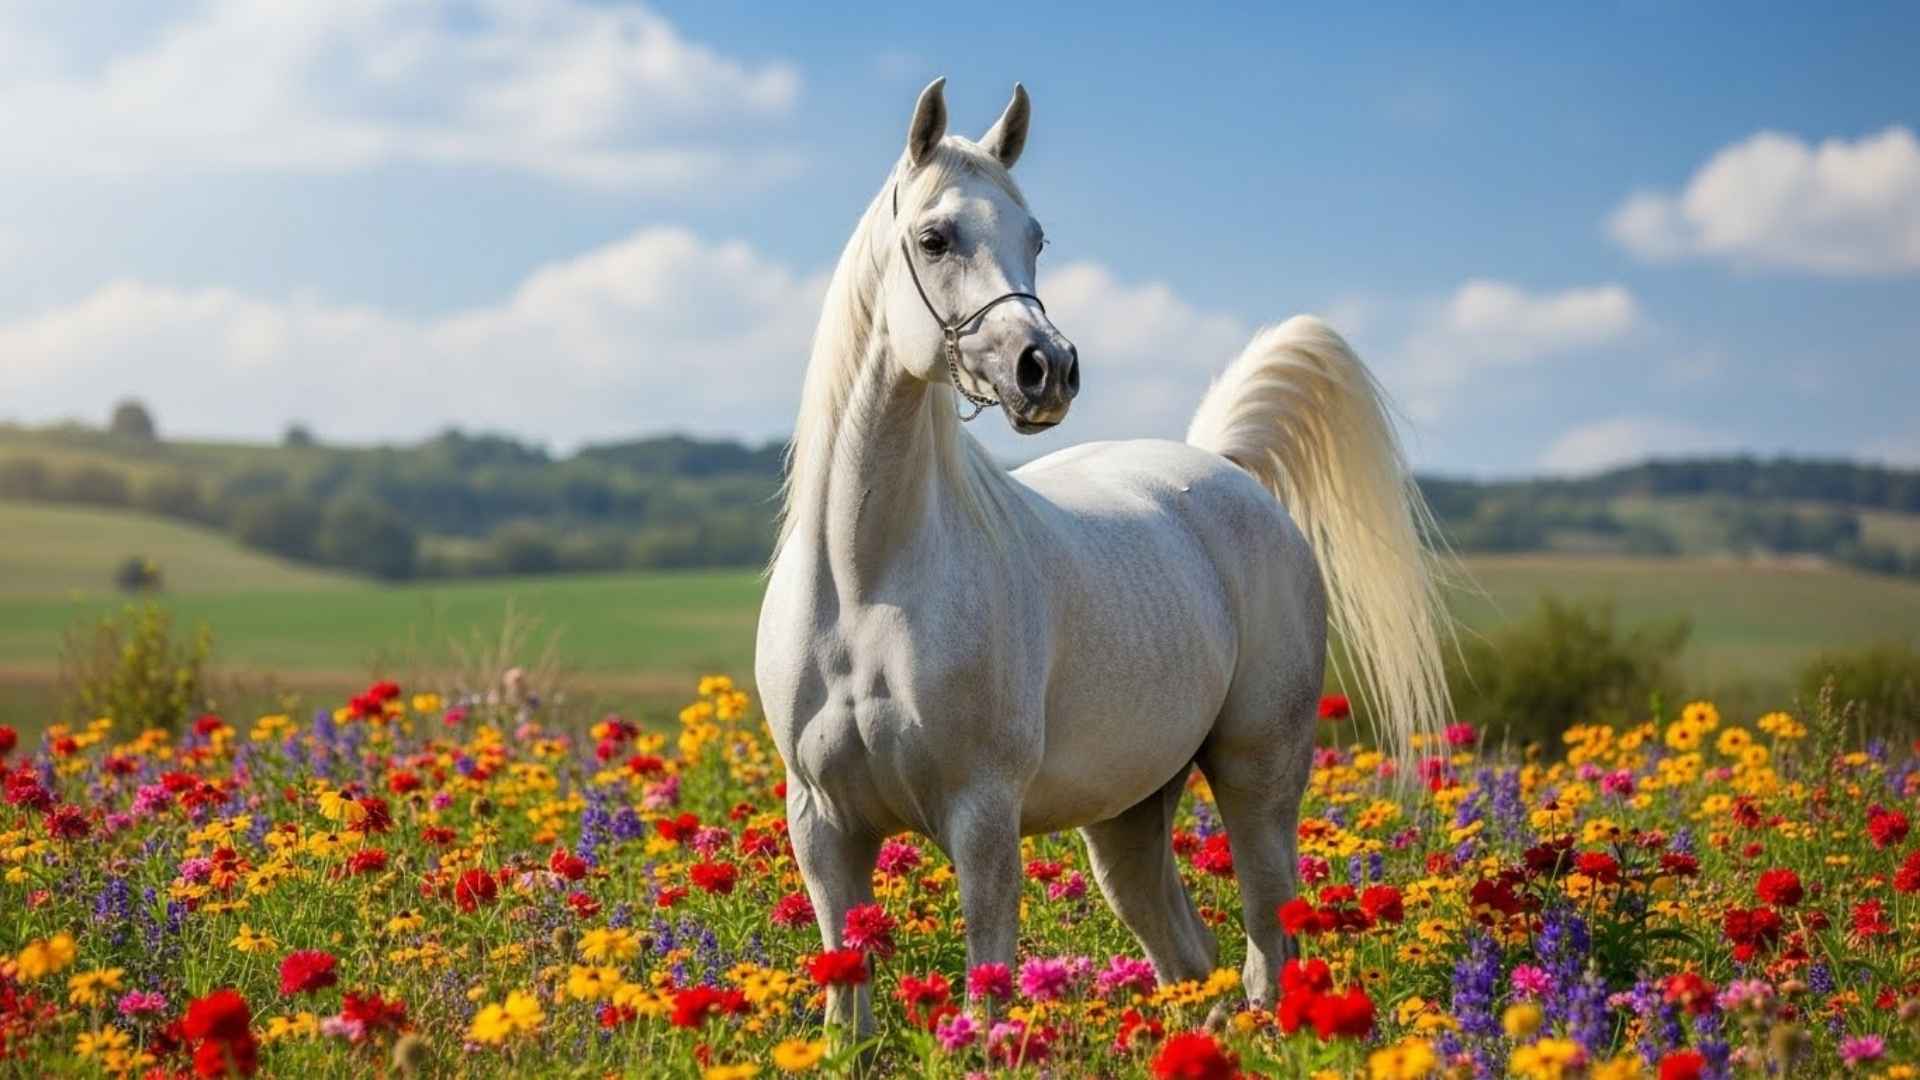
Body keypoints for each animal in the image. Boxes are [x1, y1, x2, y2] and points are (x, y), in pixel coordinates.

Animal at [755, 78, 1451, 1036]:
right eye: (934, 238)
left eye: (1035, 237)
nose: (1046, 368)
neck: (869, 586)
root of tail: (1225, 473)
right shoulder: (824, 829)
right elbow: (845, 1021)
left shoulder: (982, 819)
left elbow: (987, 991)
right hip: (1127, 817)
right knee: (1187, 957)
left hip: (1259, 779)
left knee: (1268, 949)